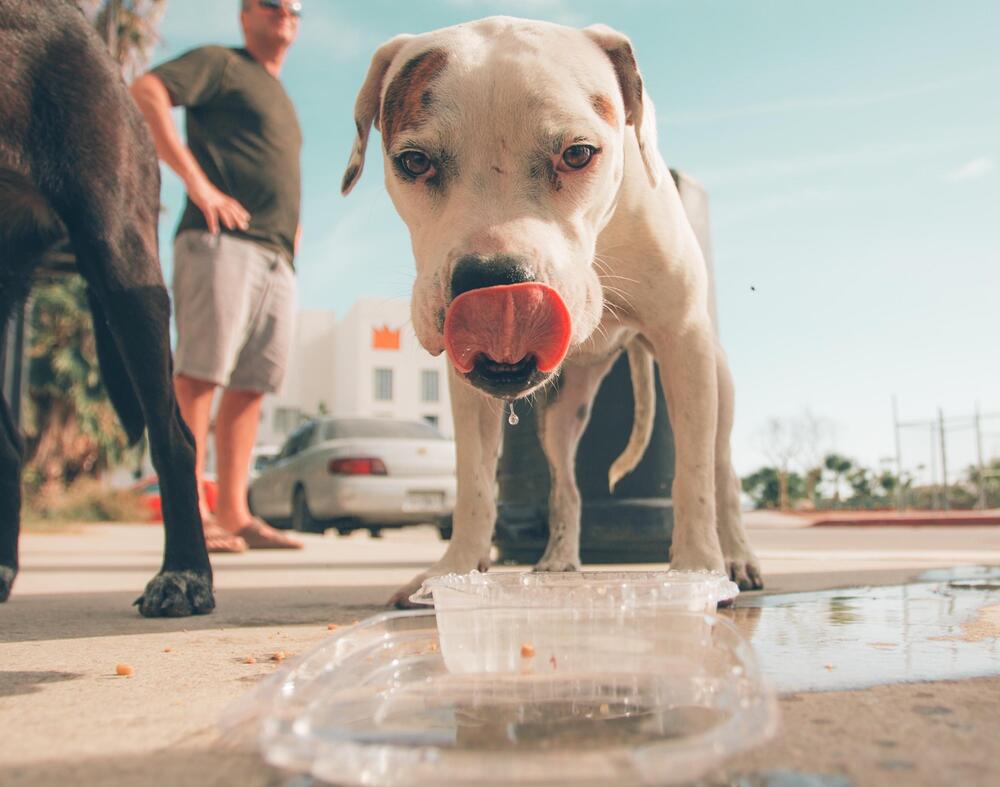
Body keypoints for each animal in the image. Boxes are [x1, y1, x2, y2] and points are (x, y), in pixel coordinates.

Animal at [340, 20, 760, 608]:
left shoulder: (683, 341)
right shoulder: (467, 391)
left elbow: (693, 477)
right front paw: (454, 571)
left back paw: (738, 557)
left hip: (715, 381)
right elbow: (473, 484)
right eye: (414, 161)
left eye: (579, 154)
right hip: (562, 414)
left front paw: (699, 570)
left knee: (722, 472)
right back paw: (559, 559)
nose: (495, 283)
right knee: (566, 485)